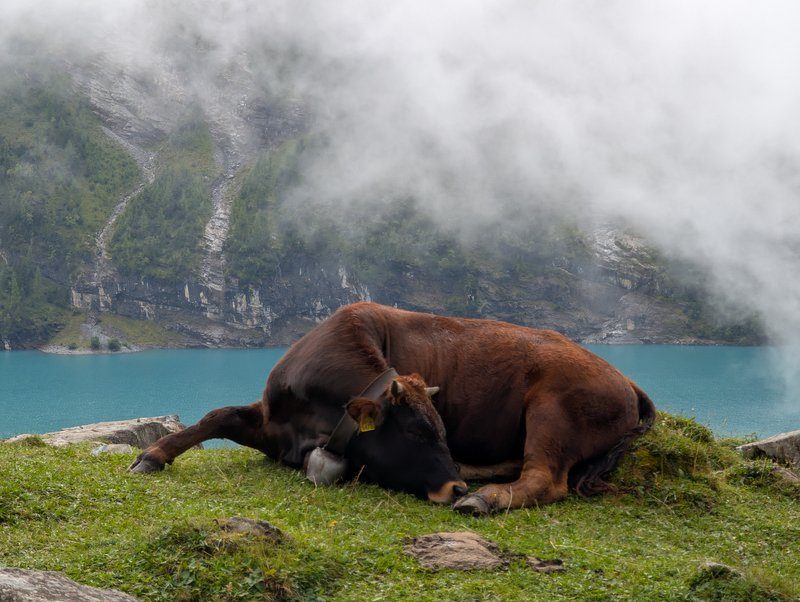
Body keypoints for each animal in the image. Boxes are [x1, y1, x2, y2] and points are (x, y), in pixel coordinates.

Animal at [130, 302, 656, 514]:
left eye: (441, 429)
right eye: (418, 432)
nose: (452, 485)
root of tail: (625, 379)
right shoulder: (272, 424)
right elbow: (216, 416)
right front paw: (151, 455)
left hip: (551, 411)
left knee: (546, 478)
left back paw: (482, 497)